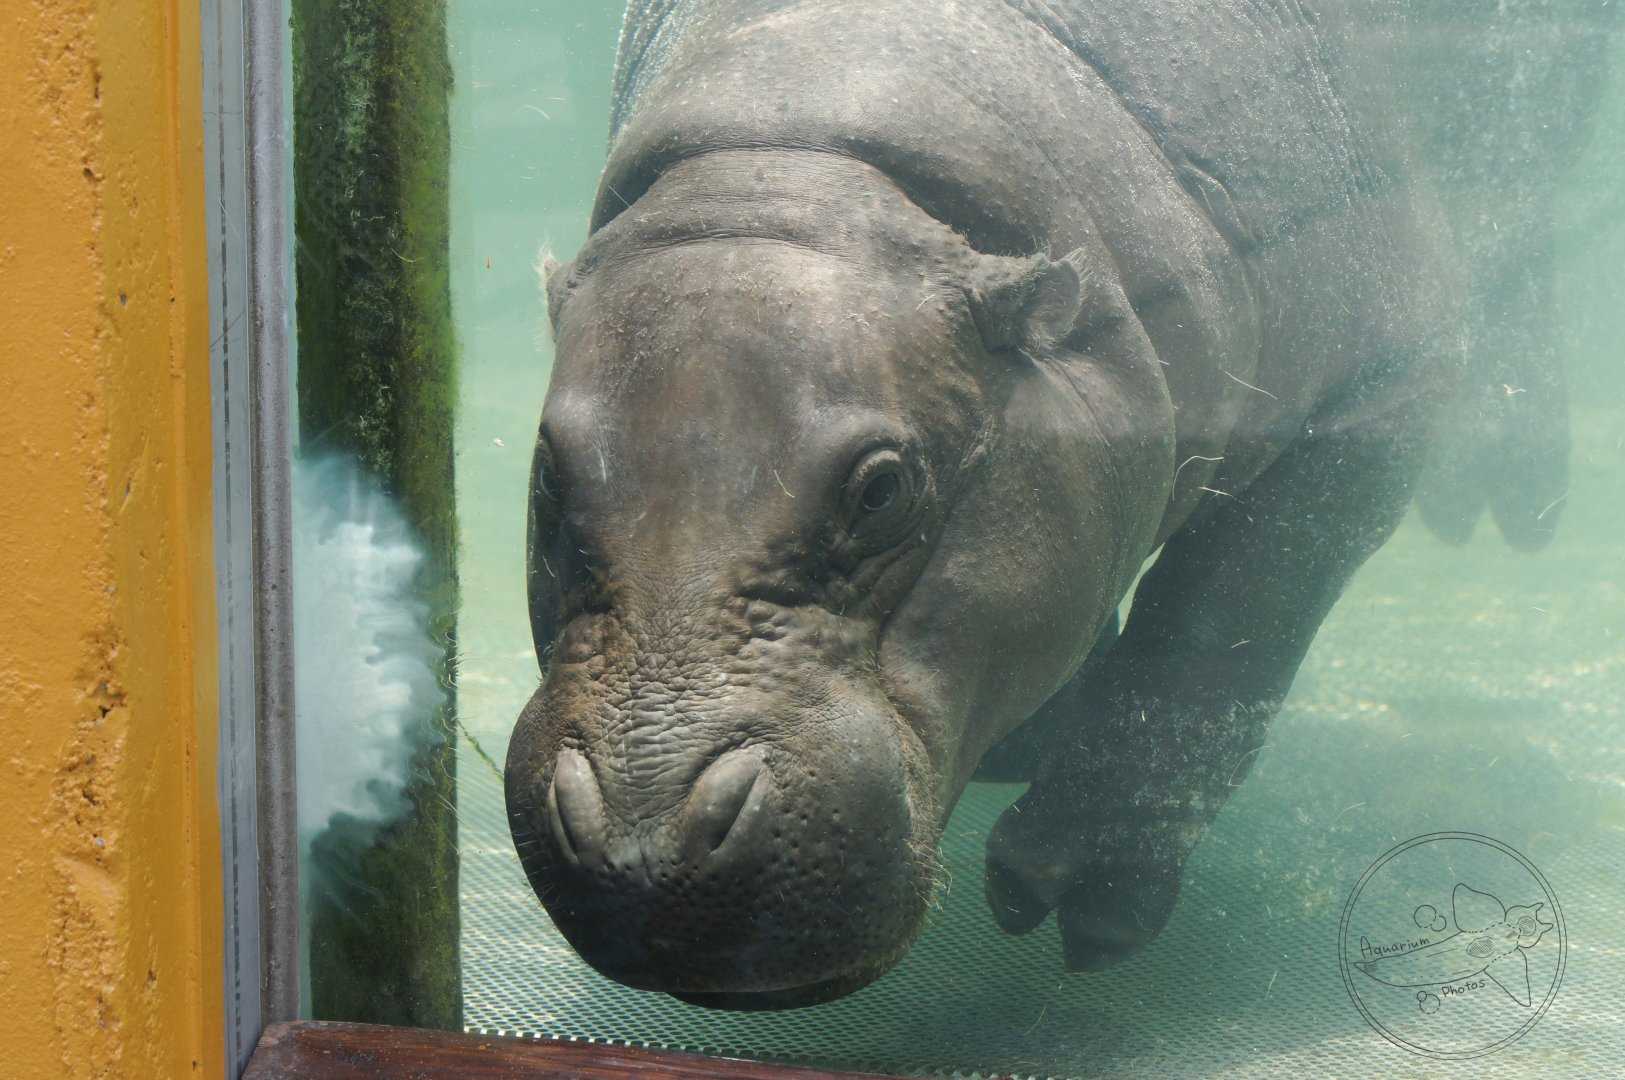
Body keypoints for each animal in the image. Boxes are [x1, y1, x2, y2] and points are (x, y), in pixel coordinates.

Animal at [506, 0, 1612, 1008]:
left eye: (883, 490)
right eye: (549, 474)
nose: (646, 843)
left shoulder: (1374, 394)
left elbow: (1220, 633)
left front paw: (1072, 893)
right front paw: (1042, 735)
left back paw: (1512, 496)